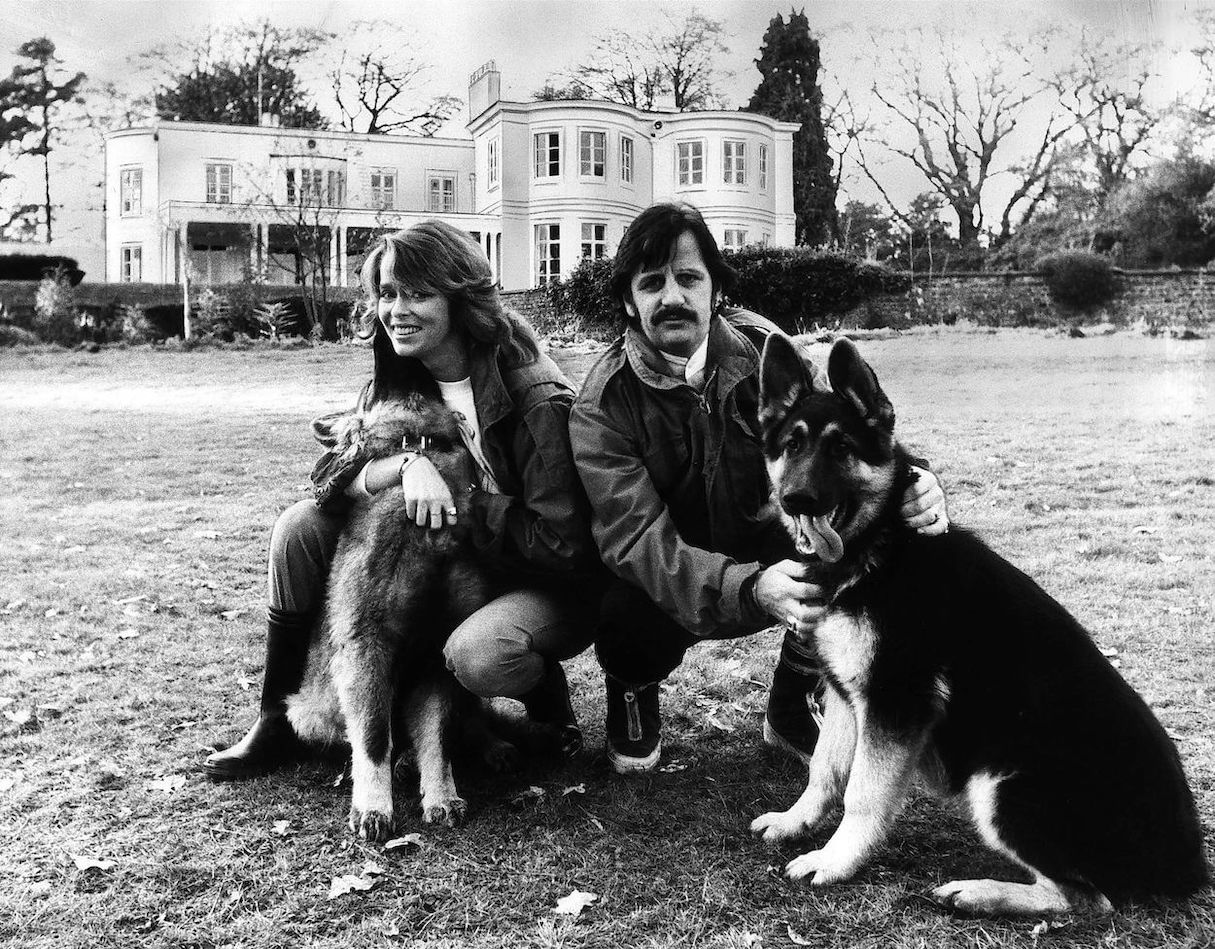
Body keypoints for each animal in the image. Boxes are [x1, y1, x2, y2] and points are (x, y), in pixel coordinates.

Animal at [289, 391, 498, 835]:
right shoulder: (367, 649)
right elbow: (372, 736)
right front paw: (373, 806)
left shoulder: (438, 655)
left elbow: (438, 737)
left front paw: (441, 794)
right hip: (310, 713)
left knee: (469, 720)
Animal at [748, 335, 1205, 918]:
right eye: (793, 445)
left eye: (841, 448)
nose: (797, 500)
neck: (879, 548)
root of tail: (1189, 865)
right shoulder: (846, 695)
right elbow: (825, 771)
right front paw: (796, 821)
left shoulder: (894, 704)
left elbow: (862, 794)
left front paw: (835, 860)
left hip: (1001, 786)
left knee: (1083, 899)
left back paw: (978, 892)